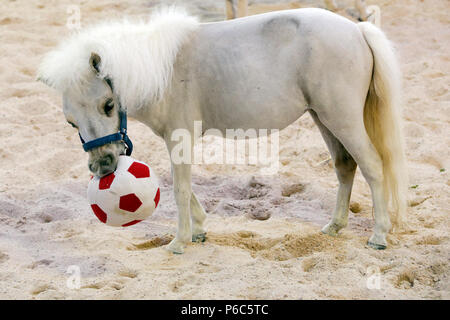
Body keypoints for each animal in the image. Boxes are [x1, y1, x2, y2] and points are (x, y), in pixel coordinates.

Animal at [38, 6, 408, 252]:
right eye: (70, 121)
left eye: (108, 105)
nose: (103, 167)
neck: (161, 70)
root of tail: (359, 31)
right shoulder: (175, 140)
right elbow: (181, 185)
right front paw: (199, 230)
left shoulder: (180, 137)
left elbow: (180, 189)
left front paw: (179, 242)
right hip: (324, 118)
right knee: (346, 167)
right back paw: (334, 226)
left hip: (342, 119)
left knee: (373, 167)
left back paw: (378, 235)